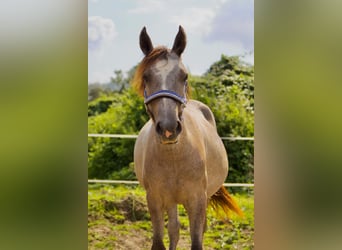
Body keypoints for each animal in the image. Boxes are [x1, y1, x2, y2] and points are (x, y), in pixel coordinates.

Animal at [132, 25, 242, 250]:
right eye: (146, 77)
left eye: (184, 76)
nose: (168, 128)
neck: (174, 155)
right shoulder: (155, 199)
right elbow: (161, 240)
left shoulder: (197, 200)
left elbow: (197, 241)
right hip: (171, 201)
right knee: (174, 230)